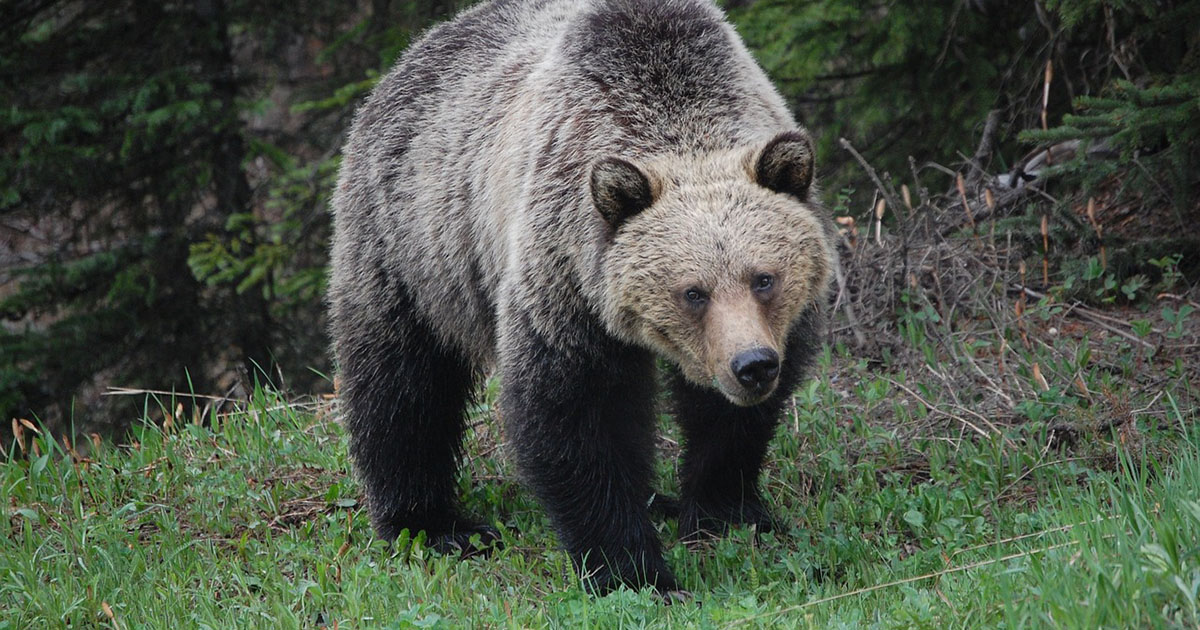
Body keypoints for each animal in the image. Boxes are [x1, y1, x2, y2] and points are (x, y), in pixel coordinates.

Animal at [328, 0, 835, 592]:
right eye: (693, 292)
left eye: (764, 278)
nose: (751, 365)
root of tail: (409, 56)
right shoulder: (565, 279)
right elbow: (577, 414)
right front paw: (634, 570)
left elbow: (730, 422)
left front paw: (725, 511)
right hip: (412, 243)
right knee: (403, 384)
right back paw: (434, 526)